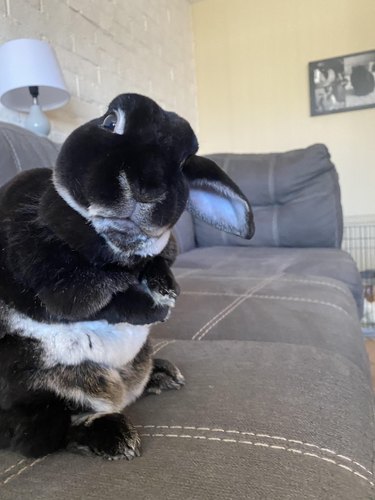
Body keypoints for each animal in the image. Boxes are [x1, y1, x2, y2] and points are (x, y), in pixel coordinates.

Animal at [0, 92, 256, 458]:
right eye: (110, 122)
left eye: (183, 163)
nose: (148, 188)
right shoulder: (57, 280)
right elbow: (104, 301)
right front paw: (156, 307)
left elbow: (157, 264)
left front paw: (167, 288)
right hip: (33, 392)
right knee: (41, 434)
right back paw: (114, 435)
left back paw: (162, 374)